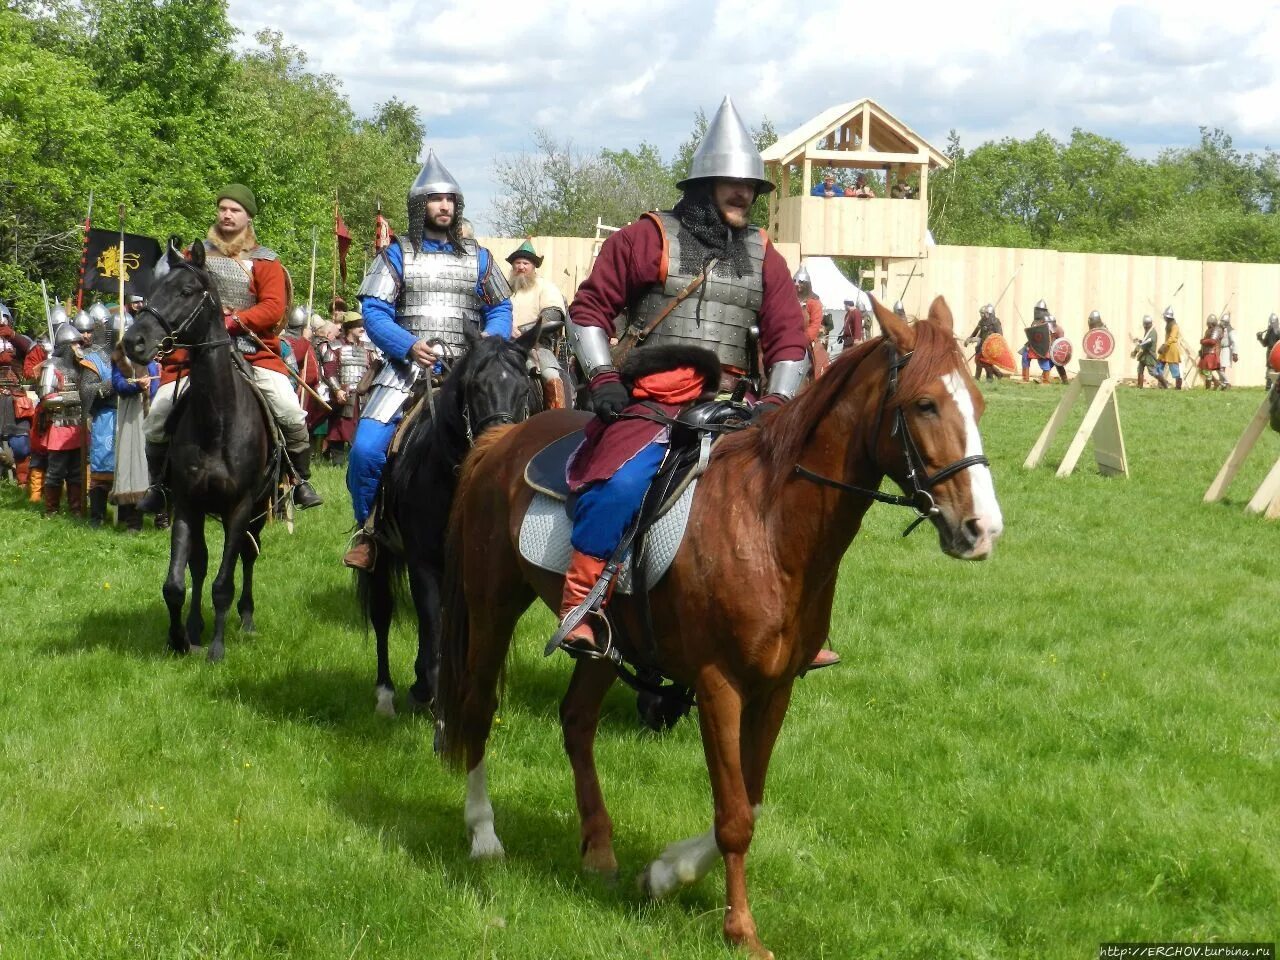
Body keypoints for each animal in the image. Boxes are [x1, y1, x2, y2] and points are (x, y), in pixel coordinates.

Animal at [124, 240, 275, 660]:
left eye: (186, 291)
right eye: (153, 290)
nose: (132, 343)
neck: (218, 420)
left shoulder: (240, 507)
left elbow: (224, 583)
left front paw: (217, 649)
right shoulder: (188, 503)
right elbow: (177, 582)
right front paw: (179, 638)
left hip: (257, 509)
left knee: (247, 557)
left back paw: (246, 618)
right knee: (201, 563)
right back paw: (194, 627)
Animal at [358, 321, 542, 716]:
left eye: (524, 389)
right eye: (475, 387)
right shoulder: (424, 564)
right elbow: (432, 628)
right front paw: (431, 690)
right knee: (382, 612)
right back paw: (386, 694)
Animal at [435, 296, 1003, 957]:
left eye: (977, 403)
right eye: (925, 404)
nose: (981, 529)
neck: (768, 523)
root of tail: (502, 438)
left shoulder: (775, 689)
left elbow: (749, 802)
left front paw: (664, 873)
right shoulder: (718, 686)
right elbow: (733, 815)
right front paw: (741, 929)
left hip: (607, 645)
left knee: (576, 723)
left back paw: (599, 847)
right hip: (492, 605)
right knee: (478, 707)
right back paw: (484, 835)